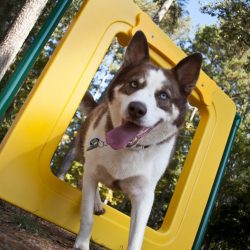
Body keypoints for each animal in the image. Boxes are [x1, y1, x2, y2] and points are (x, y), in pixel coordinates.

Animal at [73, 30, 202, 250]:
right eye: (134, 84)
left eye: (163, 96)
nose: (137, 108)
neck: (128, 149)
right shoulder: (92, 169)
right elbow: (87, 215)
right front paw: (82, 244)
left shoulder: (144, 195)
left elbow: (136, 236)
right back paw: (97, 202)